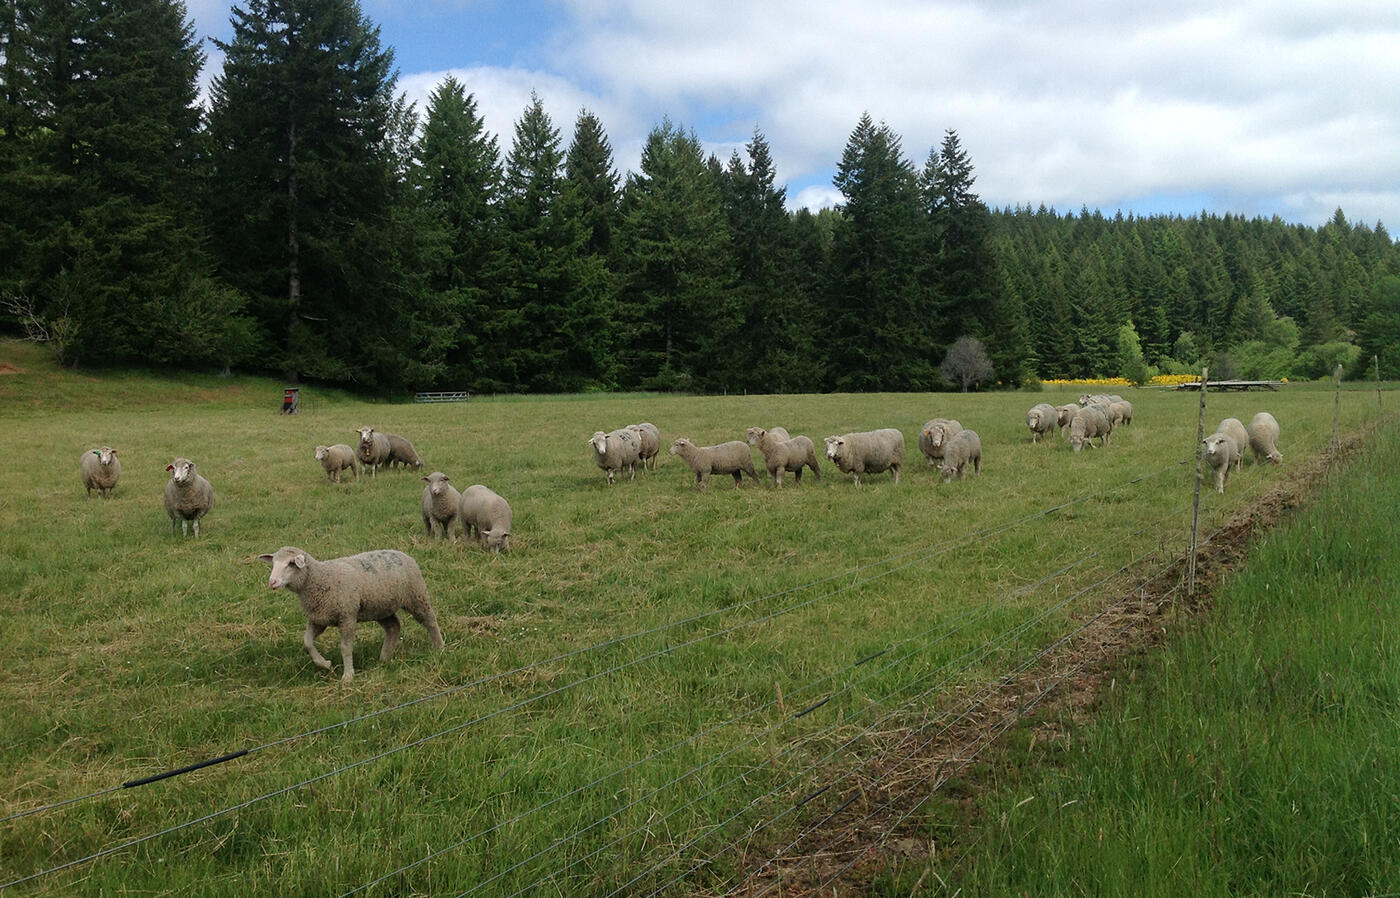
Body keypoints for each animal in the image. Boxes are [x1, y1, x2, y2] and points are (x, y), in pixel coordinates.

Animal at [259, 546, 444, 683]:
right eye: (273, 563)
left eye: (291, 563)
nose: (272, 582)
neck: (320, 578)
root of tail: (401, 553)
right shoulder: (318, 618)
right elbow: (307, 642)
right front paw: (324, 664)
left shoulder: (347, 616)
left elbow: (345, 647)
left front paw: (348, 676)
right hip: (381, 607)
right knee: (393, 627)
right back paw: (384, 658)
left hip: (416, 596)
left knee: (430, 620)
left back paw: (439, 647)